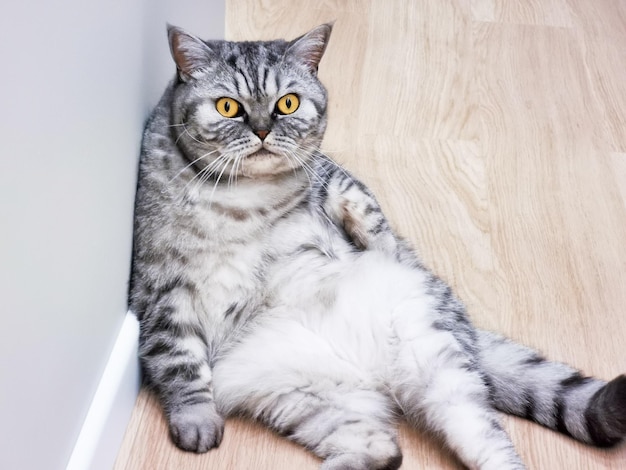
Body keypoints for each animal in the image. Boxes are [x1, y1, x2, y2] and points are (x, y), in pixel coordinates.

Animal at [128, 23, 624, 470]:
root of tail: (378, 377)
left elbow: (368, 211)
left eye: (287, 103)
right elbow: (180, 365)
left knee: (487, 447)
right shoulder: (163, 295)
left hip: (438, 368)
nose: (264, 129)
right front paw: (196, 418)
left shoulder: (332, 177)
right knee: (383, 450)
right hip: (306, 401)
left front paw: (388, 251)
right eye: (228, 106)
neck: (245, 196)